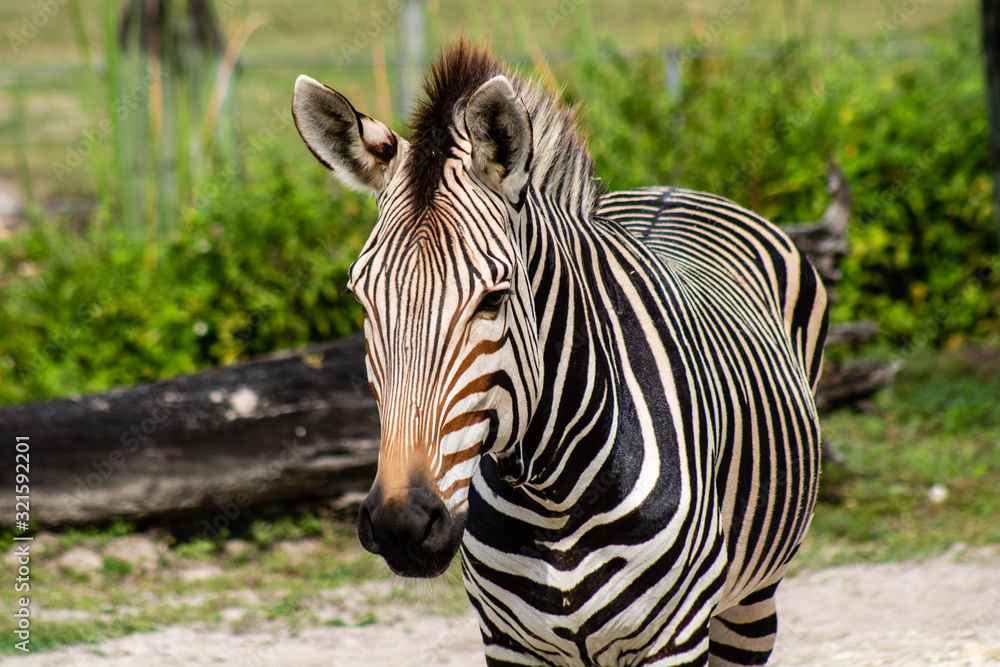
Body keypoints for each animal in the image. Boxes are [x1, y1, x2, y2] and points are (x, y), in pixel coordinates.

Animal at [292, 41, 827, 667]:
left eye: (494, 299)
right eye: (361, 300)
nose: (402, 524)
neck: (555, 495)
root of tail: (673, 191)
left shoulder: (677, 636)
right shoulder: (509, 642)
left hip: (750, 602)